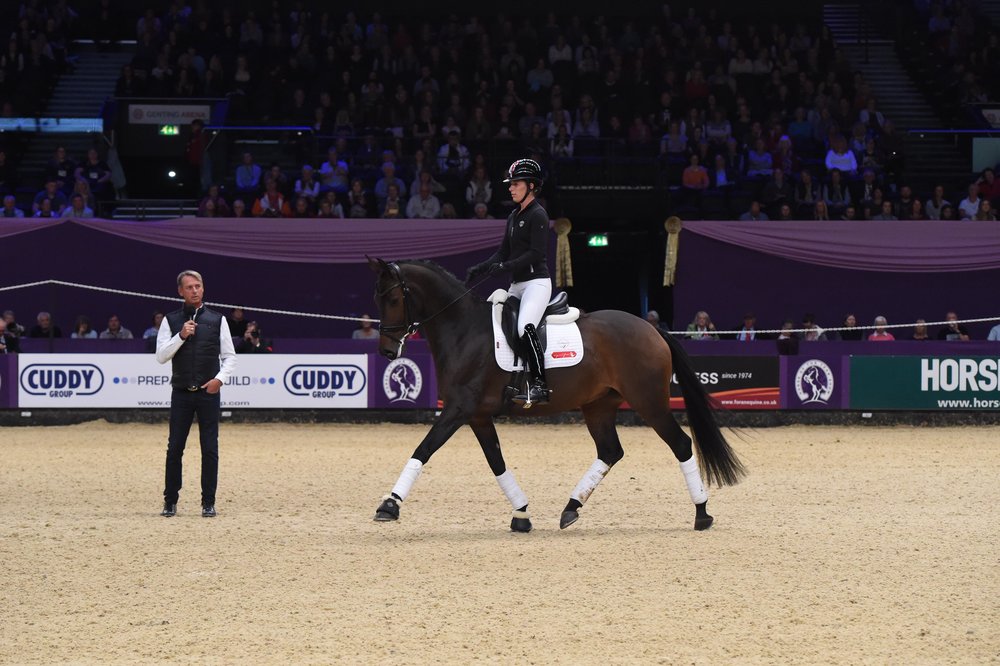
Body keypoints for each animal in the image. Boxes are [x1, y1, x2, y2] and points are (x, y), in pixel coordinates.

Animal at [370, 256, 744, 532]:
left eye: (393, 299)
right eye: (379, 299)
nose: (388, 351)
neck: (464, 330)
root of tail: (651, 328)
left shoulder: (458, 410)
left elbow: (423, 449)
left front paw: (389, 505)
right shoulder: (476, 415)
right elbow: (496, 462)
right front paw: (521, 514)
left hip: (648, 402)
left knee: (680, 444)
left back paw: (702, 514)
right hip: (598, 405)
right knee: (610, 451)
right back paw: (571, 508)